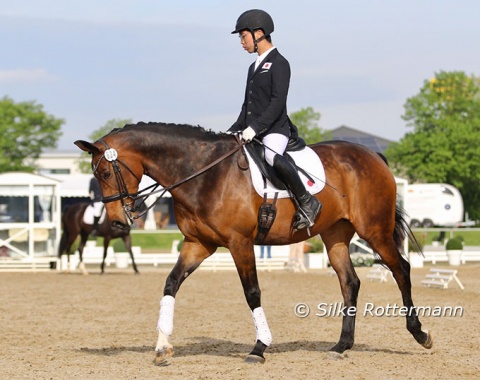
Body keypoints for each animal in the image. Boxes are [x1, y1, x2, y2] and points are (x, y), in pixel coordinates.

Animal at [74, 121, 432, 366]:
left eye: (105, 173)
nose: (117, 222)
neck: (203, 174)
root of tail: (374, 156)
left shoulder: (240, 243)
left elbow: (252, 293)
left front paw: (260, 347)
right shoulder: (198, 244)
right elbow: (171, 284)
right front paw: (162, 347)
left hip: (374, 230)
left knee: (401, 269)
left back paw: (420, 333)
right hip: (335, 235)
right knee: (350, 282)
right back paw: (341, 345)